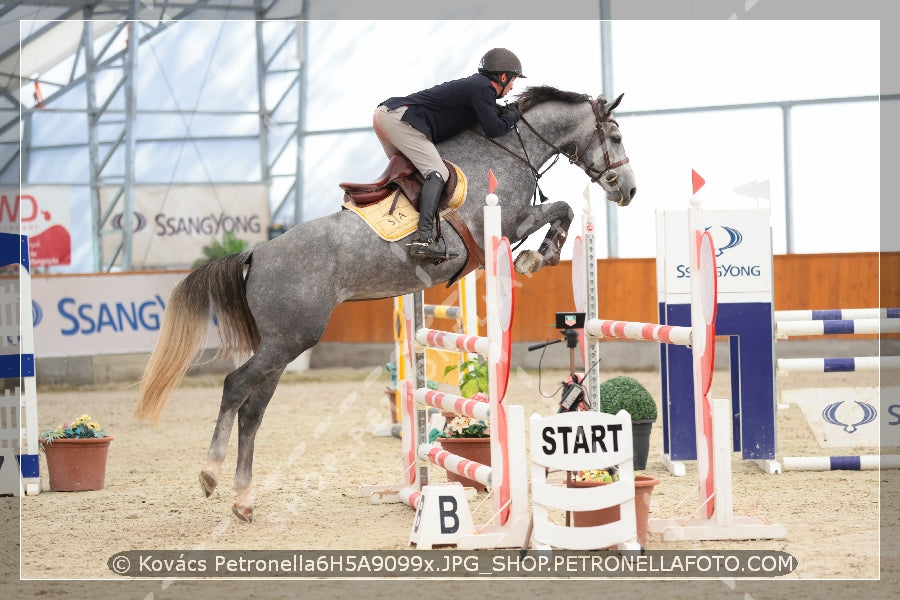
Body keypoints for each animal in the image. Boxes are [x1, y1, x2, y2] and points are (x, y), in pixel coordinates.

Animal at [137, 86, 636, 524]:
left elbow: (562, 208)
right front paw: (540, 255)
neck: (511, 149)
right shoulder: (509, 222)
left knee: (253, 409)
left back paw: (243, 500)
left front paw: (538, 255)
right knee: (235, 386)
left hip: (281, 343)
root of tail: (255, 253)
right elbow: (562, 208)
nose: (627, 190)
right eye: (614, 135)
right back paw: (210, 474)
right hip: (291, 338)